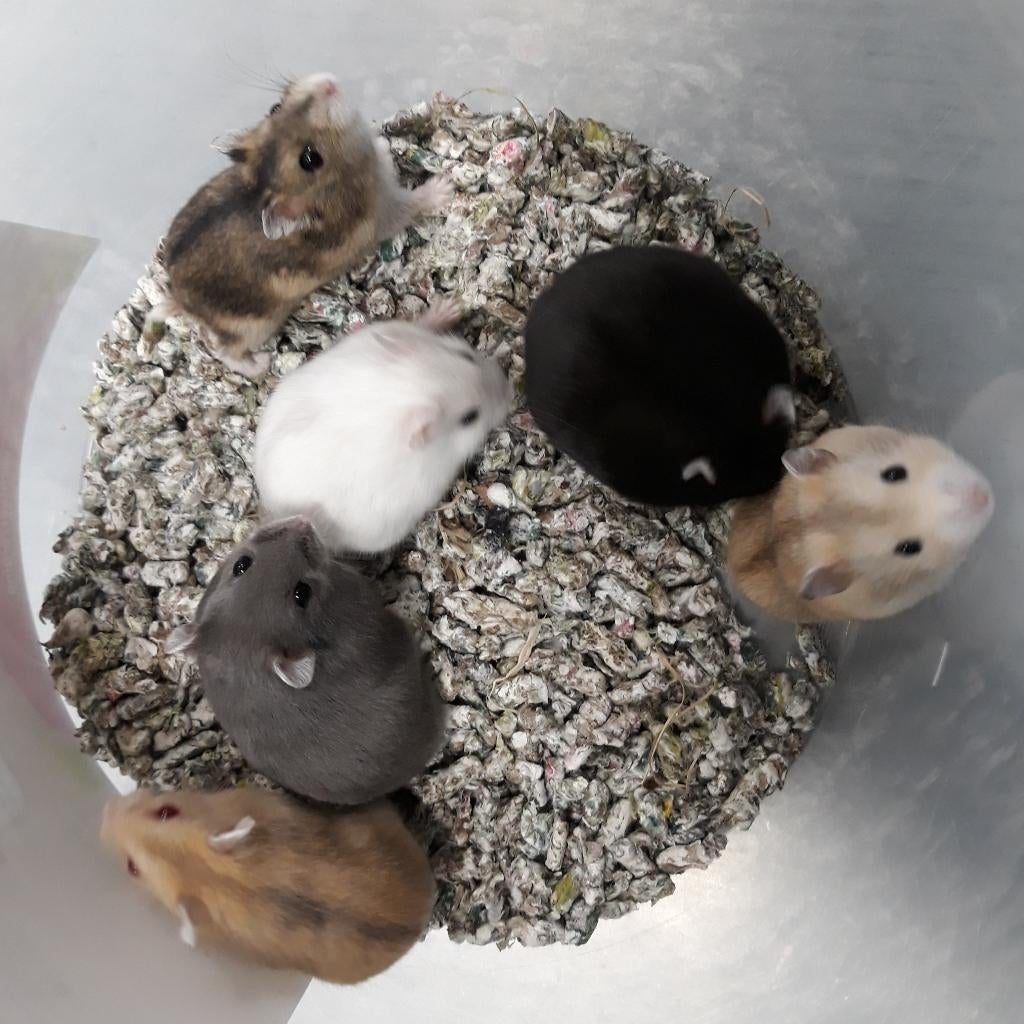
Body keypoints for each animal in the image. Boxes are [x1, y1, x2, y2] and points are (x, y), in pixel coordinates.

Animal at [147, 72, 452, 377]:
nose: (329, 83)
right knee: (222, 350)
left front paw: (384, 146)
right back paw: (260, 365)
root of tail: (180, 301)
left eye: (274, 108)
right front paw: (444, 187)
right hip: (254, 328)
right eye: (310, 159)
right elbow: (414, 202)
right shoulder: (384, 215)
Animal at [253, 299, 511, 554]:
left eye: (465, 354)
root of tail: (269, 503)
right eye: (470, 418)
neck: (402, 393)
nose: (511, 390)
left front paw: (452, 307)